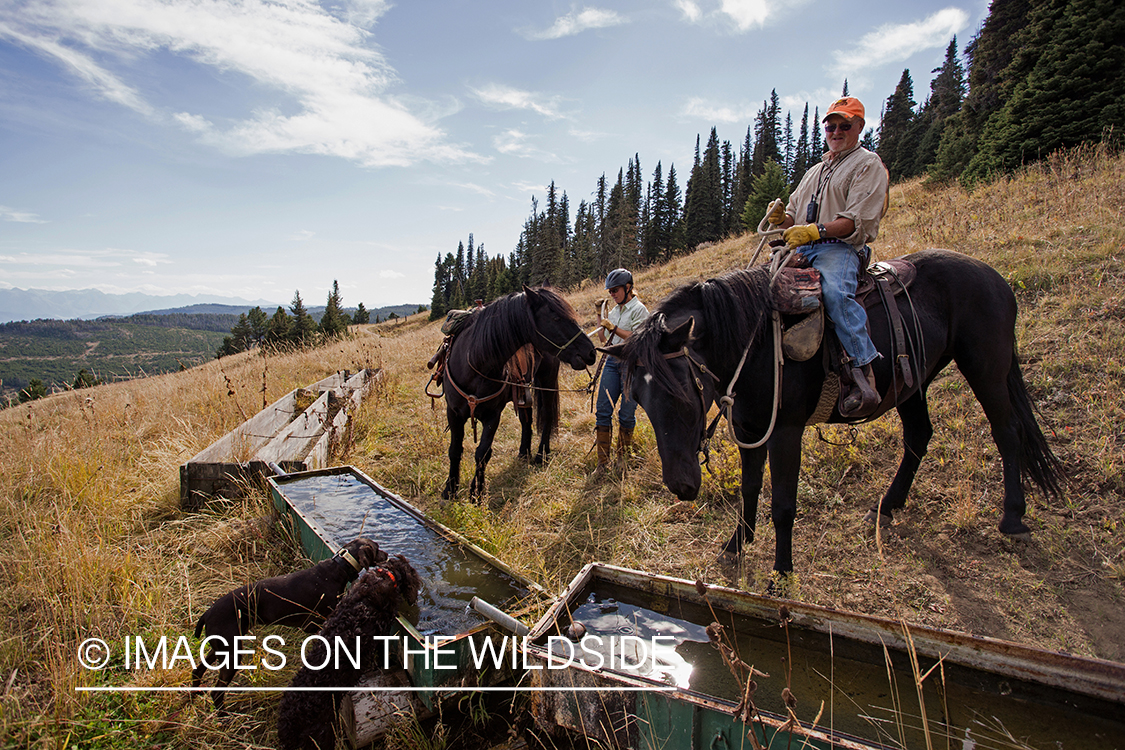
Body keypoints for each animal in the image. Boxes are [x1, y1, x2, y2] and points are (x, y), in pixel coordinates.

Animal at [441, 284, 598, 501]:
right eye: (556, 318)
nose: (591, 352)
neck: (474, 363)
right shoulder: (454, 413)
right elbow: (455, 450)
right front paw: (450, 489)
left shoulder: (493, 416)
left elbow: (482, 452)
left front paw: (477, 493)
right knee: (527, 419)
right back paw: (524, 452)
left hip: (546, 380)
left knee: (546, 415)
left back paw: (541, 455)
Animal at [616, 249, 1062, 580]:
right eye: (639, 399)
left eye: (681, 395)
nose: (681, 487)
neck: (754, 343)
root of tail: (996, 278)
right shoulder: (750, 427)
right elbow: (749, 489)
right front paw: (735, 546)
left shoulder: (785, 431)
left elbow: (783, 504)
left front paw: (782, 572)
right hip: (912, 381)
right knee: (919, 434)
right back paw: (888, 505)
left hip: (986, 368)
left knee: (1007, 431)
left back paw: (1013, 518)